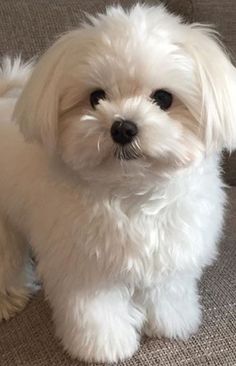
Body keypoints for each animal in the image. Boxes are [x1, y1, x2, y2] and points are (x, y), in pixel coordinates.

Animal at [0, 3, 236, 364]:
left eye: (163, 98)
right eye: (96, 97)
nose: (123, 127)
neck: (132, 192)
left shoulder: (169, 253)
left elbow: (167, 293)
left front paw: (171, 323)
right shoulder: (84, 270)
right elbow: (97, 313)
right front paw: (104, 347)